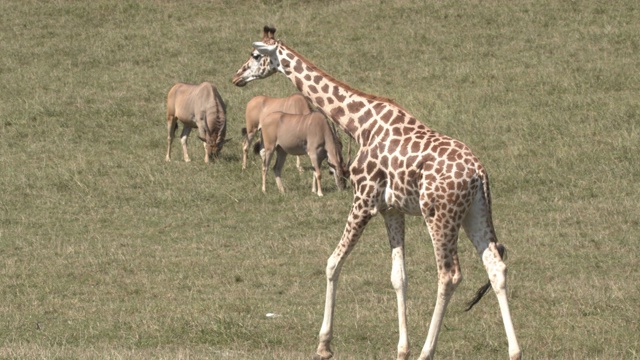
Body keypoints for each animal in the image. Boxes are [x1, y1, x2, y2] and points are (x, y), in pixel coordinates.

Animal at [232, 26, 524, 360]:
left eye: (255, 55)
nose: (236, 76)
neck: (360, 122)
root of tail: (479, 174)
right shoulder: (391, 209)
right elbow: (399, 277)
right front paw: (402, 349)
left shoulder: (363, 199)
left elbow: (332, 263)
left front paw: (324, 344)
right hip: (474, 212)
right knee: (495, 266)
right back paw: (514, 351)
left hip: (439, 215)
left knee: (449, 275)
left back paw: (427, 351)